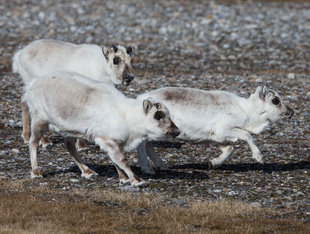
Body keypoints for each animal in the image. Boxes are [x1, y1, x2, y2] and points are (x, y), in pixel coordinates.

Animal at [23, 70, 180, 186]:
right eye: (158, 115)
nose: (176, 131)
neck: (127, 117)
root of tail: (32, 84)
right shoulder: (108, 140)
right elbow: (122, 160)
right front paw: (136, 180)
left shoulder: (110, 142)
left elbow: (115, 160)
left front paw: (123, 178)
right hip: (39, 119)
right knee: (33, 142)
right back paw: (36, 172)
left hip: (68, 130)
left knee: (69, 146)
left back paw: (87, 171)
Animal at [137, 85, 294, 174]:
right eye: (275, 100)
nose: (291, 111)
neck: (248, 112)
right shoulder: (224, 129)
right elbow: (247, 135)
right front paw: (259, 158)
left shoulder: (218, 138)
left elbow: (230, 148)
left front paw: (213, 163)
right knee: (143, 145)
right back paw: (147, 169)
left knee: (147, 145)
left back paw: (162, 166)